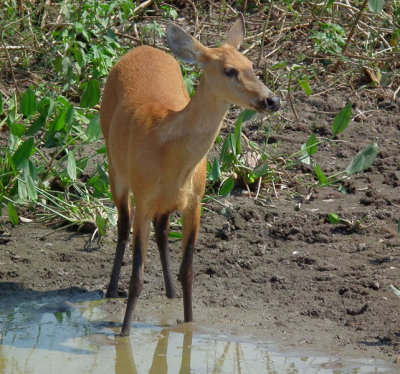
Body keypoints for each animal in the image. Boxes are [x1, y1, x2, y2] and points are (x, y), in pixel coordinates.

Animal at [100, 13, 282, 336]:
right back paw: (110, 290)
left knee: (161, 230)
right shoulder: (144, 198)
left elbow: (188, 271)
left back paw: (170, 293)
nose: (272, 100)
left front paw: (188, 323)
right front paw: (124, 333)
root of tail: (142, 47)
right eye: (229, 70)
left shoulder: (195, 202)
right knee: (122, 223)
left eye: (251, 65)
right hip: (114, 164)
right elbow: (137, 277)